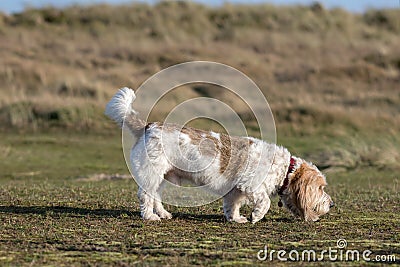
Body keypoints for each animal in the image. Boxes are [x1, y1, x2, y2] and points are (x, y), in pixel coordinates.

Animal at [104, 88, 332, 224]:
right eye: (321, 188)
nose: (331, 204)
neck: (285, 170)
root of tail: (148, 126)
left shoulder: (236, 190)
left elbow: (233, 205)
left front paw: (236, 218)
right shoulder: (252, 185)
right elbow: (264, 201)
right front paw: (256, 215)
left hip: (162, 177)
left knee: (156, 197)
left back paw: (163, 213)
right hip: (151, 174)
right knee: (145, 196)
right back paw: (150, 216)